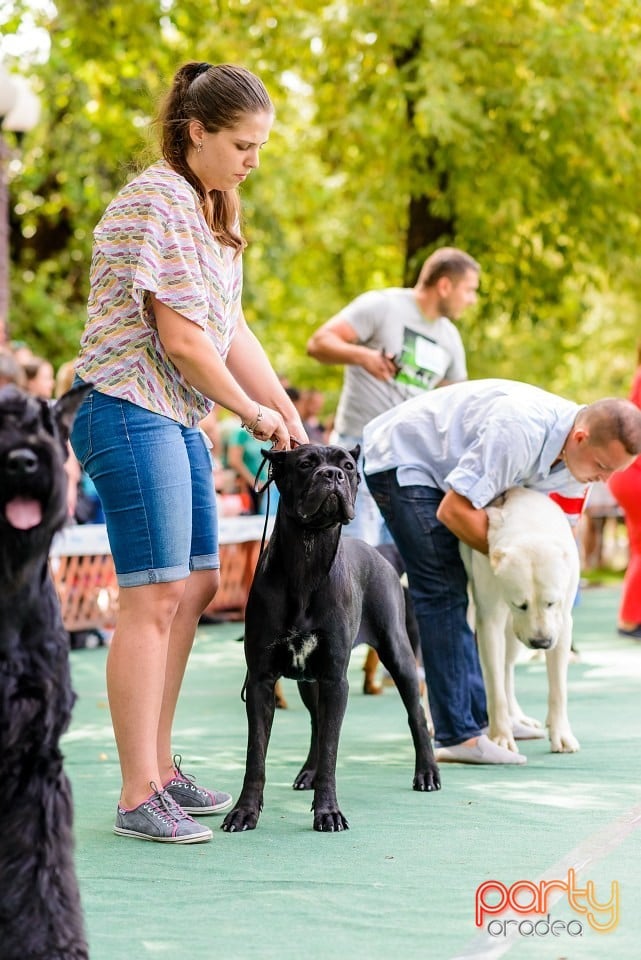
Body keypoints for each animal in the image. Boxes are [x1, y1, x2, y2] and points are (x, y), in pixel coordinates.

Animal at [221, 442, 440, 832]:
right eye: (305, 464)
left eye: (349, 466)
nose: (332, 475)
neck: (307, 558)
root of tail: (378, 552)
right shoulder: (261, 680)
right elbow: (256, 755)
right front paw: (245, 812)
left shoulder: (336, 679)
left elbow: (331, 750)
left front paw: (328, 812)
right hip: (309, 679)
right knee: (316, 722)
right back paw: (307, 772)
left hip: (397, 651)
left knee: (415, 713)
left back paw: (427, 772)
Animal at [460, 492, 580, 752]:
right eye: (520, 605)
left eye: (551, 603)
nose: (541, 642)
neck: (530, 525)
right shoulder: (490, 621)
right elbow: (495, 690)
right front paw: (501, 738)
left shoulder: (562, 623)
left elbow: (558, 688)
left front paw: (561, 734)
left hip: (515, 637)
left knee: (507, 668)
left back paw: (518, 719)